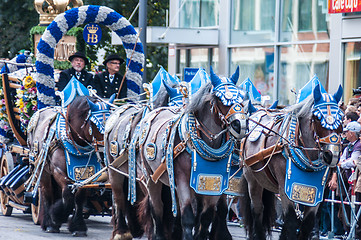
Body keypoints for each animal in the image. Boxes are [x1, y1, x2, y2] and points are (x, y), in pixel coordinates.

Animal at [27, 95, 112, 236]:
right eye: (95, 124)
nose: (106, 150)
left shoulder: (85, 176)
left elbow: (78, 198)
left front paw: (78, 227)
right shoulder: (58, 171)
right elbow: (68, 195)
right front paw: (56, 217)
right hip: (43, 170)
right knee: (46, 193)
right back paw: (49, 224)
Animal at [239, 83, 344, 239]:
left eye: (341, 118)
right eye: (317, 117)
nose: (332, 154)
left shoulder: (316, 192)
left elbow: (307, 224)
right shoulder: (286, 188)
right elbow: (291, 221)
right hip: (253, 180)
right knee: (257, 211)